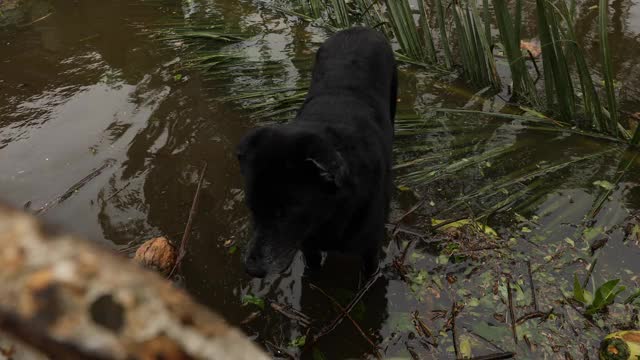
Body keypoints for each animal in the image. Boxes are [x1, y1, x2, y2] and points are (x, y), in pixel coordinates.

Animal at [236, 26, 396, 278]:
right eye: (251, 207)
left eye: (286, 213)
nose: (252, 269)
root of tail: (358, 28)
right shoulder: (308, 246)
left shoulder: (370, 251)